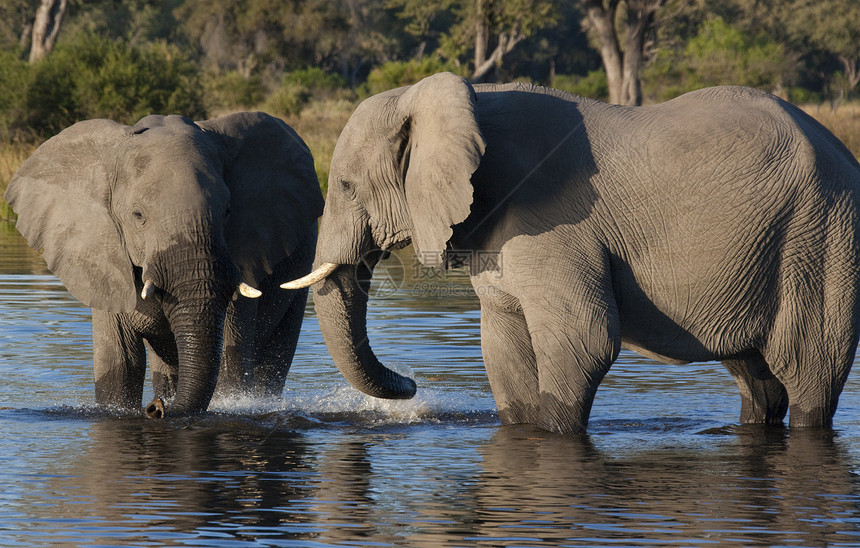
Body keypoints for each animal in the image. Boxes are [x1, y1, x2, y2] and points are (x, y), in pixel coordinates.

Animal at [286, 73, 860, 434]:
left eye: (344, 185)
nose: (411, 384)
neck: (461, 97)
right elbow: (503, 345)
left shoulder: (555, 225)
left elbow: (584, 340)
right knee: (757, 380)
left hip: (821, 237)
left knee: (809, 375)